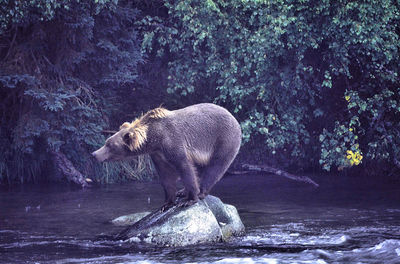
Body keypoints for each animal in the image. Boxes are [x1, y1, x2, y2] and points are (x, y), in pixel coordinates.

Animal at [91, 103, 241, 210]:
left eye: (109, 145)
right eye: (107, 142)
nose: (94, 154)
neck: (154, 138)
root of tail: (234, 118)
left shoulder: (172, 142)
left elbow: (184, 166)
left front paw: (190, 199)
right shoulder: (158, 154)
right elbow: (166, 175)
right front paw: (167, 202)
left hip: (223, 139)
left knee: (215, 167)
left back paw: (201, 192)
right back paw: (182, 191)